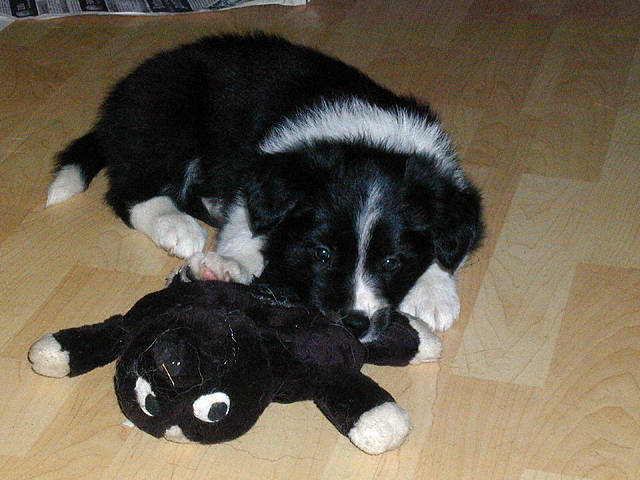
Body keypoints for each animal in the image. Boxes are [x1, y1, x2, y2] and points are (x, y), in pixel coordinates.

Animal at [47, 33, 482, 332]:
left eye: (392, 263)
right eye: (322, 254)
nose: (354, 323)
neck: (363, 136)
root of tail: (118, 103)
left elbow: (449, 244)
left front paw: (434, 293)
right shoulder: (258, 181)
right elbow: (246, 232)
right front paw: (227, 266)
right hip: (165, 117)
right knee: (130, 189)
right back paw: (176, 226)